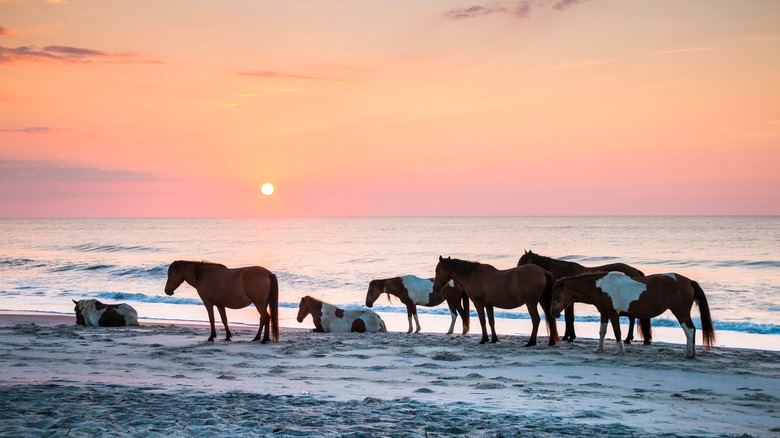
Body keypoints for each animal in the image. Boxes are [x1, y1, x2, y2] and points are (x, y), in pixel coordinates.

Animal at [432, 255, 560, 348]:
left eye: (437, 271)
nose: (435, 288)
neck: (472, 275)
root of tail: (543, 271)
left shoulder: (478, 304)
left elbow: (482, 321)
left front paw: (484, 339)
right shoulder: (489, 305)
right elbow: (491, 321)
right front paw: (494, 339)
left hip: (531, 303)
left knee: (536, 320)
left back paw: (531, 342)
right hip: (543, 301)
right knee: (550, 319)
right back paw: (551, 341)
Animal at [516, 250, 652, 346]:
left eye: (522, 262)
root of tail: (635, 271)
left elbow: (569, 319)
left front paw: (568, 337)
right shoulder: (568, 302)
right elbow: (569, 318)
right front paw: (569, 336)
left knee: (631, 319)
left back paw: (628, 338)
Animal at [548, 270, 712, 360]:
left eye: (556, 295)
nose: (553, 313)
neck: (601, 287)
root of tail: (688, 282)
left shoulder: (613, 314)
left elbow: (617, 332)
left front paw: (620, 351)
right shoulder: (604, 313)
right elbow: (602, 332)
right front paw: (599, 349)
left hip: (680, 312)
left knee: (689, 331)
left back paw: (688, 354)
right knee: (692, 329)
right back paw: (693, 353)